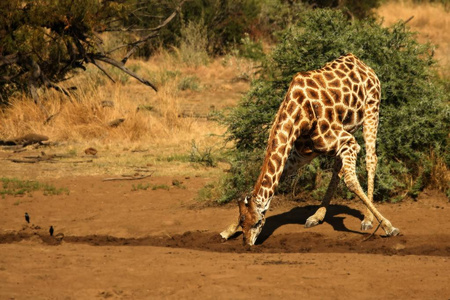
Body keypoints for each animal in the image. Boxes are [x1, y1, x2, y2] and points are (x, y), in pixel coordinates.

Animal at [220, 54, 400, 246]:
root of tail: (361, 63)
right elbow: (280, 176)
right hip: (347, 127)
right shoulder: (304, 153)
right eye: (242, 222)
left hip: (372, 108)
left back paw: (367, 219)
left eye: (257, 222)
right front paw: (227, 231)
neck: (298, 113)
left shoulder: (349, 142)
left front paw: (389, 227)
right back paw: (317, 216)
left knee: (371, 159)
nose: (248, 244)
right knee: (338, 167)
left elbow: (351, 181)